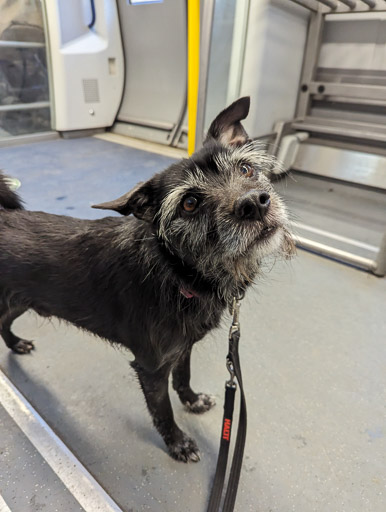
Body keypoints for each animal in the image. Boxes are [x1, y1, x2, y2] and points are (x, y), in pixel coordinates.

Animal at [0, 98, 294, 462]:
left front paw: (192, 401)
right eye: (190, 203)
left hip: (20, 300)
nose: (254, 203)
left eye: (245, 170)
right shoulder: (151, 367)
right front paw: (178, 443)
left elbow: (183, 379)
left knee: (4, 322)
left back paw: (16, 344)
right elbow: (162, 411)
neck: (178, 275)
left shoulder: (183, 349)